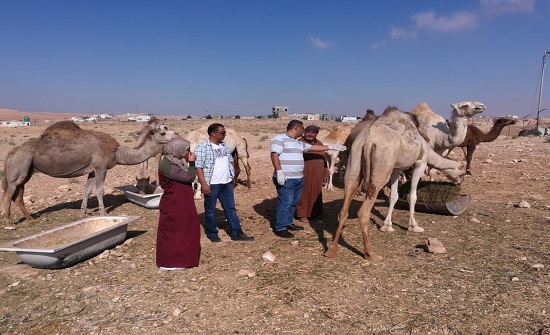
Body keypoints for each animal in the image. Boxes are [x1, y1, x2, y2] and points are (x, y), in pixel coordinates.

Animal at [2, 120, 178, 228]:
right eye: (162, 132)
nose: (176, 135)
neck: (118, 153)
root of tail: (11, 152)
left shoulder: (91, 170)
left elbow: (86, 190)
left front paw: (82, 213)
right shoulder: (101, 168)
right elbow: (99, 190)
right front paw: (103, 212)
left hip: (27, 171)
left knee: (18, 195)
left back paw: (31, 219)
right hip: (18, 168)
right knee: (8, 195)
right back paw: (10, 224)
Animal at [326, 106, 468, 262]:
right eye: (461, 173)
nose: (459, 183)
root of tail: (368, 139)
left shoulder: (396, 168)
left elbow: (394, 196)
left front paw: (387, 226)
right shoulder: (420, 162)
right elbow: (412, 196)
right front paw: (414, 226)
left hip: (354, 161)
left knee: (344, 206)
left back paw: (332, 251)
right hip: (381, 167)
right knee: (364, 212)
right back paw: (371, 254)